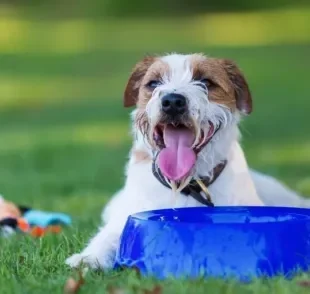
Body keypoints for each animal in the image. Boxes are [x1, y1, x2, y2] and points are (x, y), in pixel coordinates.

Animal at [66, 53, 310, 272]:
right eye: (153, 83)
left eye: (206, 82)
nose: (173, 101)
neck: (187, 184)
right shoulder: (126, 217)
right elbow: (107, 237)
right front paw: (88, 258)